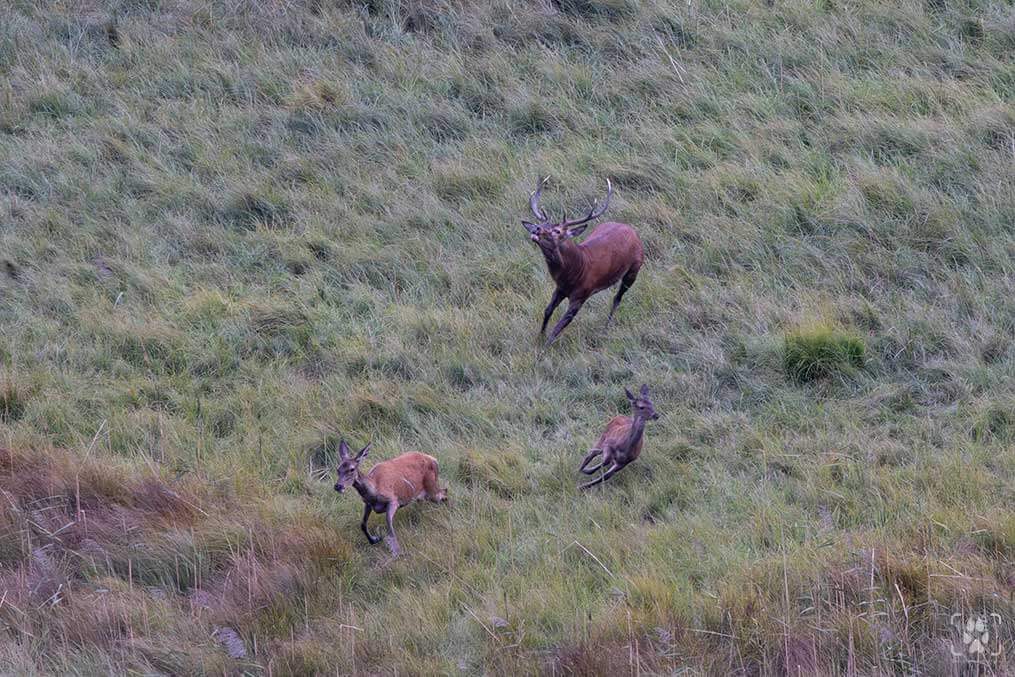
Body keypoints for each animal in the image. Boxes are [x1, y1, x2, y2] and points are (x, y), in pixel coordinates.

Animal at [522, 177, 644, 345]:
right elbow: (547, 310)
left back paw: (606, 327)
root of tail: (632, 230)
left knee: (617, 298)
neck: (575, 272)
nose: (536, 229)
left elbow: (560, 326)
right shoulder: (560, 289)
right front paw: (539, 337)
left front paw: (543, 349)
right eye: (542, 224)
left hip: (634, 268)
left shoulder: (582, 294)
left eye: (557, 231)